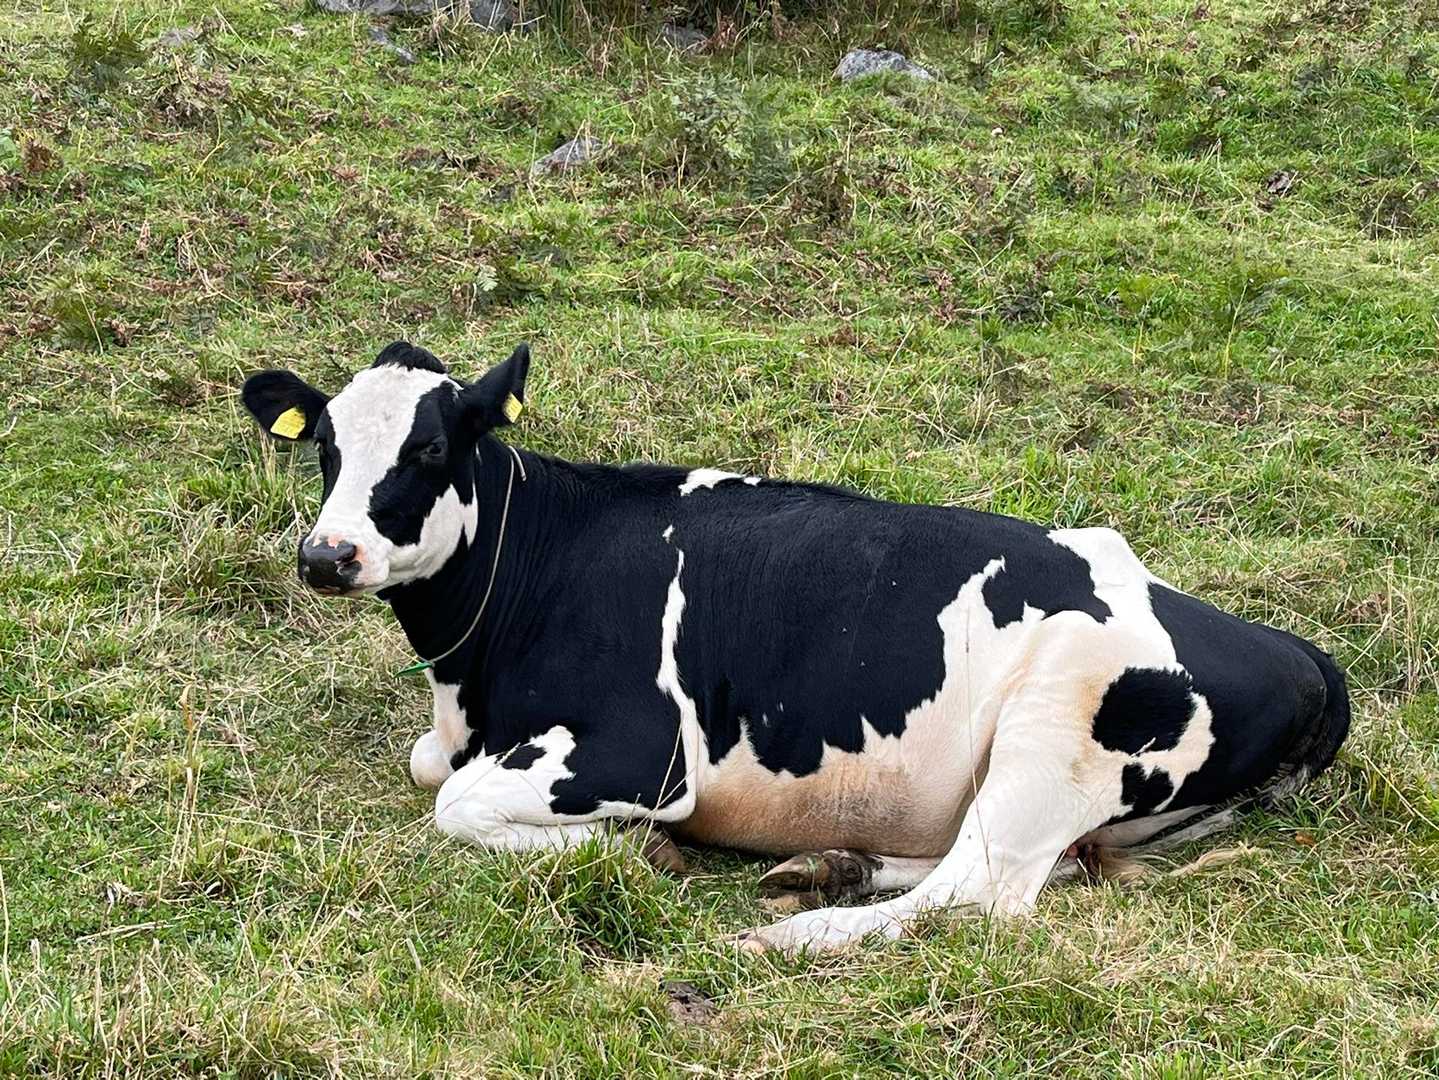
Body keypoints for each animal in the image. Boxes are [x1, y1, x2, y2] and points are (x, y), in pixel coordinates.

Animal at [241, 341, 1350, 953]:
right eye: (325, 448)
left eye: (428, 448)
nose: (326, 555)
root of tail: (1301, 655)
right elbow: (432, 773)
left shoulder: (641, 752)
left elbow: (456, 805)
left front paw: (636, 848)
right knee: (1021, 866)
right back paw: (829, 865)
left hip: (1055, 731)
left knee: (979, 895)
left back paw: (787, 933)